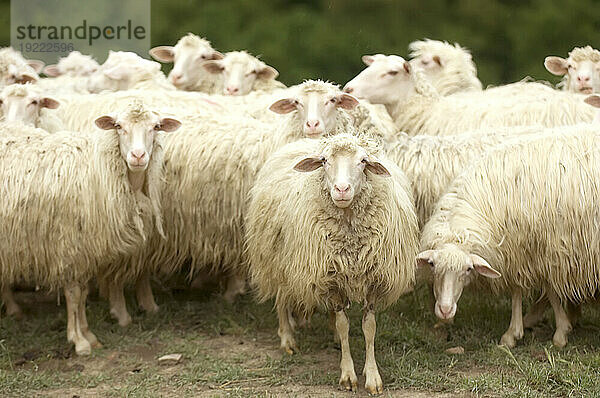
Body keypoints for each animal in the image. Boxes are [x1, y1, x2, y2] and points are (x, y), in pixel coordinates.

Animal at [0, 100, 178, 354]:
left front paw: (87, 334)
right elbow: (74, 294)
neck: (100, 170)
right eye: (118, 126)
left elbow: (82, 293)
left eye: (156, 127)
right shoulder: (68, 247)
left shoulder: (85, 250)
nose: (138, 156)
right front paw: (79, 341)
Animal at [244, 133, 418, 392]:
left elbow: (369, 328)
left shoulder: (371, 281)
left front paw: (372, 376)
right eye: (324, 160)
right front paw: (348, 375)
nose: (342, 189)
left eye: (363, 161)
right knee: (282, 297)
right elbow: (344, 325)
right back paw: (287, 338)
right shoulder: (331, 281)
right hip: (281, 258)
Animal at [420, 124, 600, 348]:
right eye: (432, 265)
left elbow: (543, 289)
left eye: (468, 269)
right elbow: (524, 289)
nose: (445, 310)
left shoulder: (544, 249)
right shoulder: (524, 250)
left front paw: (556, 332)